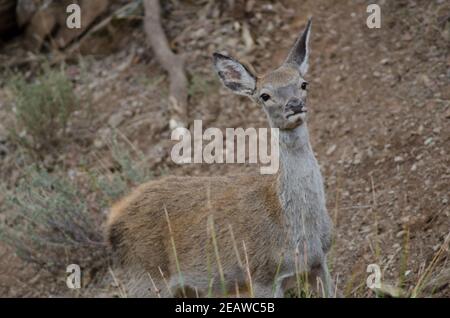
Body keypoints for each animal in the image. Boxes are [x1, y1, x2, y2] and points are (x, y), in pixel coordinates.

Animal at [106, 19, 338, 298]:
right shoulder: (260, 274)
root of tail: (112, 219)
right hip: (147, 279)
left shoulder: (319, 261)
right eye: (264, 95)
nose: (294, 105)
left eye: (303, 83)